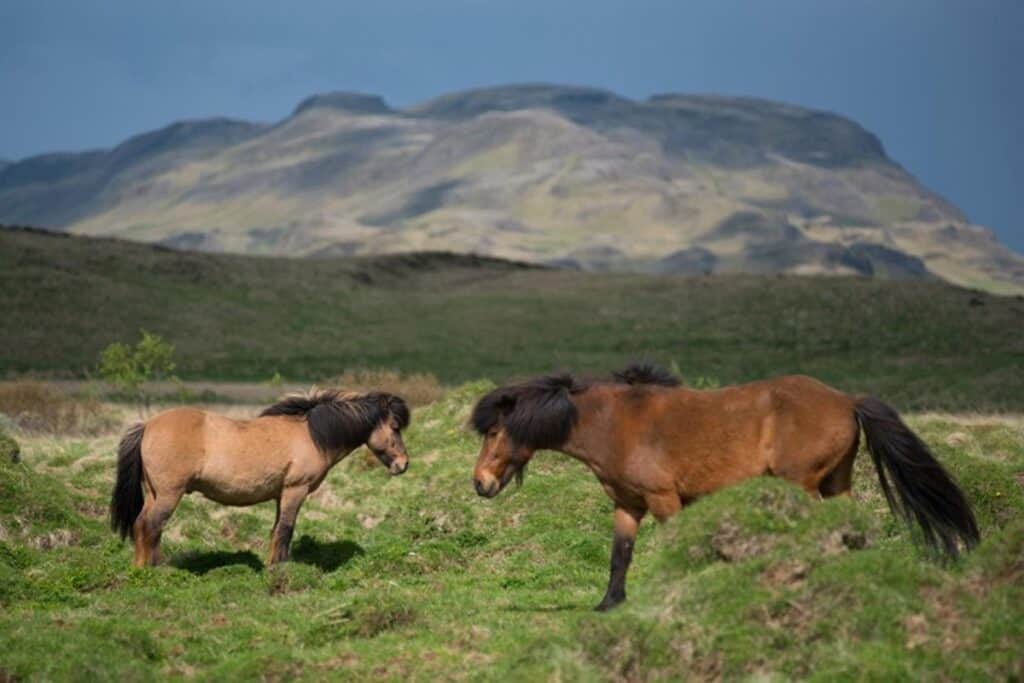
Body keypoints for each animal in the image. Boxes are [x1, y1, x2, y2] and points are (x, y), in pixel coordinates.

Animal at [112, 387, 411, 569]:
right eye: (395, 427)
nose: (403, 464)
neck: (312, 435)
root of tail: (147, 425)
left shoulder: (281, 495)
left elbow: (276, 530)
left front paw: (274, 566)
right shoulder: (294, 491)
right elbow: (285, 530)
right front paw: (279, 570)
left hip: (154, 493)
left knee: (142, 525)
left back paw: (143, 568)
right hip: (169, 494)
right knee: (152, 526)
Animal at [468, 366, 978, 610]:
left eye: (493, 432)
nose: (480, 484)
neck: (615, 423)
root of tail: (846, 400)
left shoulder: (665, 500)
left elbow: (685, 548)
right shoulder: (628, 505)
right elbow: (620, 557)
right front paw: (609, 603)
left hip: (803, 486)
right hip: (837, 485)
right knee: (856, 534)